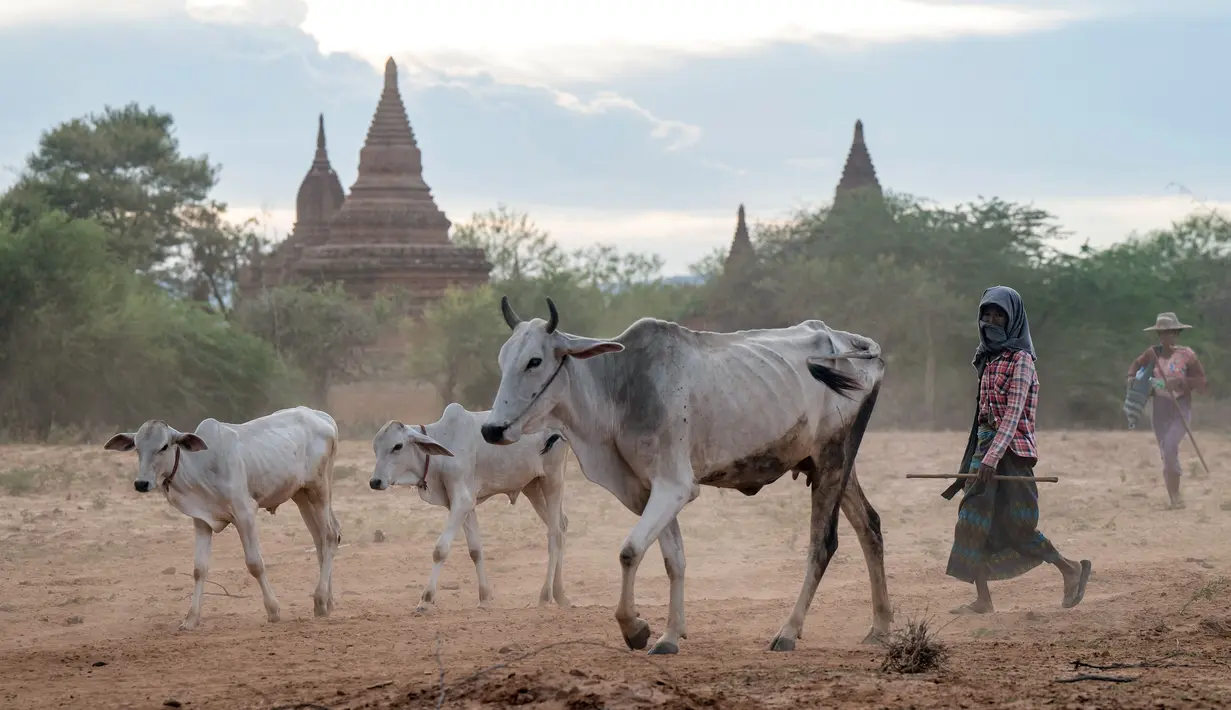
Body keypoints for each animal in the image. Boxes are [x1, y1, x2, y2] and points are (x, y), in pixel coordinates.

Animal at [100, 406, 339, 627]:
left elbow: (255, 564)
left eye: (164, 446)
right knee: (320, 539)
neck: (201, 465)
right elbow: (199, 569)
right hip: (301, 495)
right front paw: (191, 619)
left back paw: (320, 599)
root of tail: (322, 416)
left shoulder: (245, 513)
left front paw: (273, 610)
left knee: (329, 535)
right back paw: (328, 602)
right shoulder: (201, 521)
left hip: (320, 488)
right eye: (137, 448)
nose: (141, 483)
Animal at [366, 403, 573, 615]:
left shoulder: (462, 501)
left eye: (397, 446)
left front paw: (426, 600)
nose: (375, 482)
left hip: (552, 479)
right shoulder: (464, 506)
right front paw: (485, 597)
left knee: (555, 533)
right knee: (563, 524)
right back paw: (560, 594)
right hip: (533, 487)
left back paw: (546, 595)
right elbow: (475, 550)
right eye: (375, 448)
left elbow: (440, 550)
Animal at [475, 297, 891, 654]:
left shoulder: (675, 486)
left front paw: (634, 627)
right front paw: (670, 635)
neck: (619, 388)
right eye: (502, 360)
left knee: (822, 544)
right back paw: (881, 627)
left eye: (534, 361)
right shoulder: (649, 491)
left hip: (832, 460)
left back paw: (789, 631)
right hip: (832, 466)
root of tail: (856, 342)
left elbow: (630, 551)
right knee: (869, 526)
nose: (492, 430)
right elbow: (673, 559)